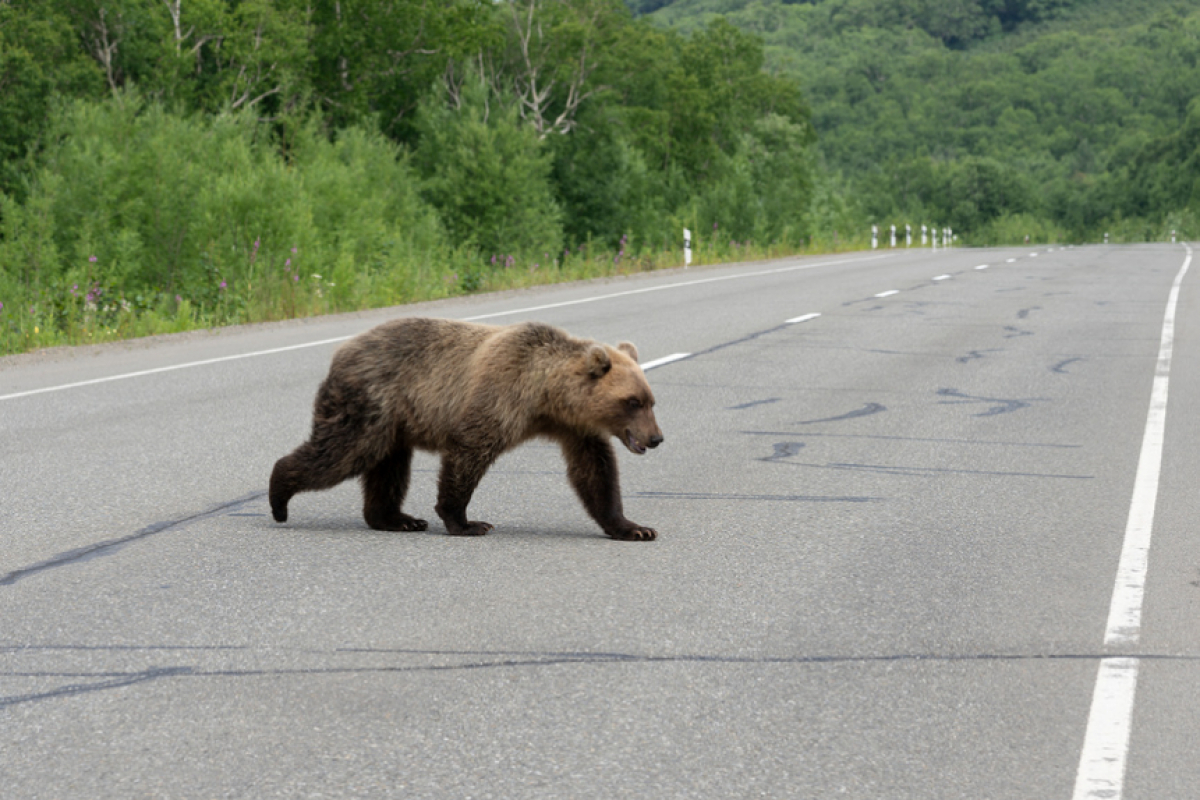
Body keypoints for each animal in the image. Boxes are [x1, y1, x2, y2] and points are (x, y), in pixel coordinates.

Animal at [270, 316, 667, 537]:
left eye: (651, 400)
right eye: (632, 402)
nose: (656, 438)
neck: (545, 397)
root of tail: (342, 350)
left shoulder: (575, 428)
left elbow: (595, 472)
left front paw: (635, 528)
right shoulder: (500, 395)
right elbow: (469, 452)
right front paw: (467, 522)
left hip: (394, 422)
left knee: (389, 467)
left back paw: (397, 518)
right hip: (371, 404)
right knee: (341, 453)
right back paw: (278, 497)